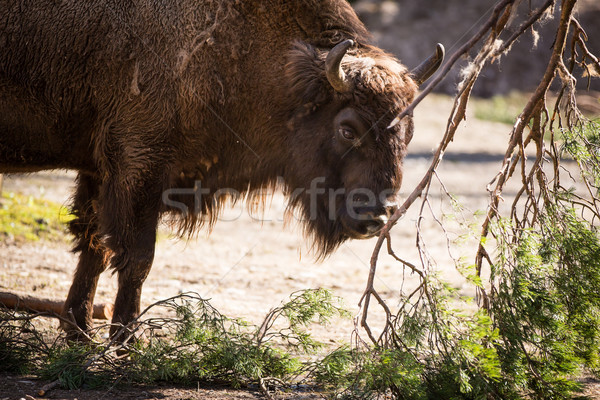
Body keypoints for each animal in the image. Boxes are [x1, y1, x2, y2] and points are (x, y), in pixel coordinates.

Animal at [0, 0, 440, 338]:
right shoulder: (141, 165)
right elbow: (137, 256)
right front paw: (125, 340)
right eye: (347, 128)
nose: (375, 216)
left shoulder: (99, 171)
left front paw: (78, 331)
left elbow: (92, 243)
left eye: (409, 131)